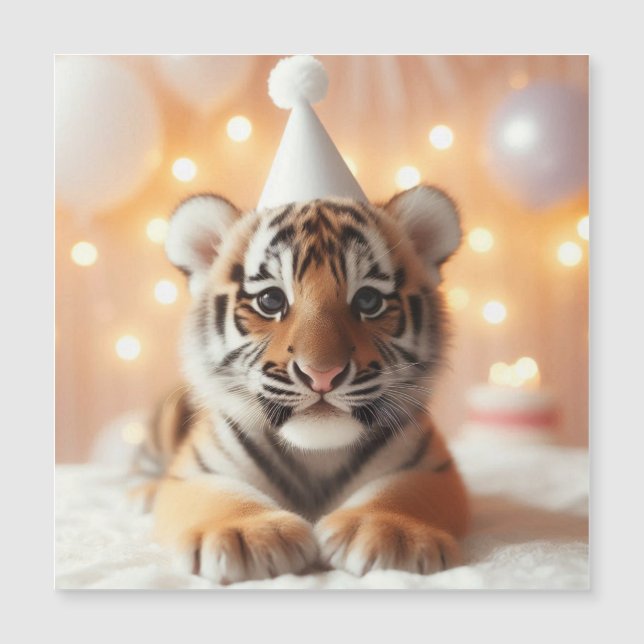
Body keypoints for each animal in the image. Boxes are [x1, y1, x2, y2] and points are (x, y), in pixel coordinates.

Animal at [134, 184, 470, 584]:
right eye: (270, 300)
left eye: (368, 300)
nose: (322, 373)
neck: (317, 456)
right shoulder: (197, 471)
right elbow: (221, 496)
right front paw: (246, 534)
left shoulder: (429, 465)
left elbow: (399, 492)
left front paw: (389, 532)